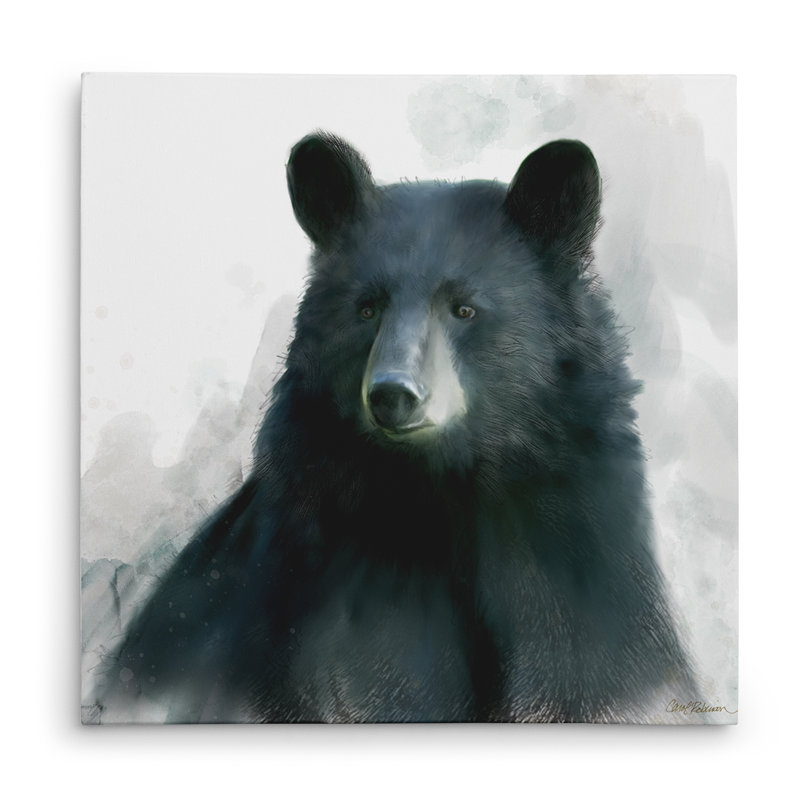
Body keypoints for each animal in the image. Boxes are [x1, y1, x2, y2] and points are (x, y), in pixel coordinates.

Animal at [94, 132, 696, 723]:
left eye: (464, 308)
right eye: (367, 308)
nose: (393, 394)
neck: (447, 492)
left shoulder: (577, 563)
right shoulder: (333, 589)